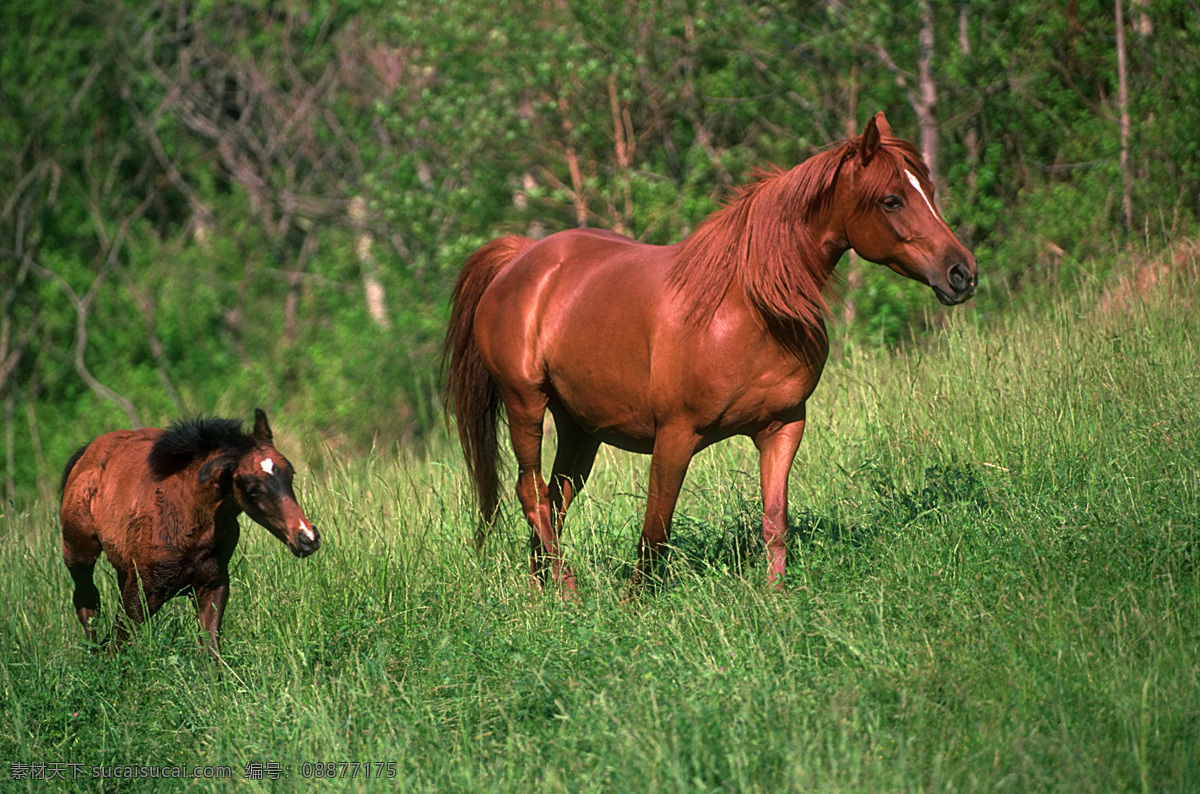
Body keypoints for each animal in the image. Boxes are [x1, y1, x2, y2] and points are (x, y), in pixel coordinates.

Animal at [59, 409, 319, 658]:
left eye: (290, 473)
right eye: (251, 488)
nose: (307, 538)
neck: (188, 518)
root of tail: (87, 453)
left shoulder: (212, 586)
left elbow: (210, 652)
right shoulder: (140, 592)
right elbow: (117, 646)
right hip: (78, 554)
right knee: (87, 603)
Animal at [443, 112, 976, 595]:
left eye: (927, 189)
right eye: (892, 199)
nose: (962, 273)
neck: (746, 308)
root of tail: (519, 259)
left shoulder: (783, 427)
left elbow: (774, 521)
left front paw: (776, 597)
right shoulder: (675, 436)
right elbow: (655, 530)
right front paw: (634, 607)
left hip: (580, 428)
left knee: (554, 501)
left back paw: (544, 593)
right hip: (526, 404)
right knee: (531, 493)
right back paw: (568, 589)